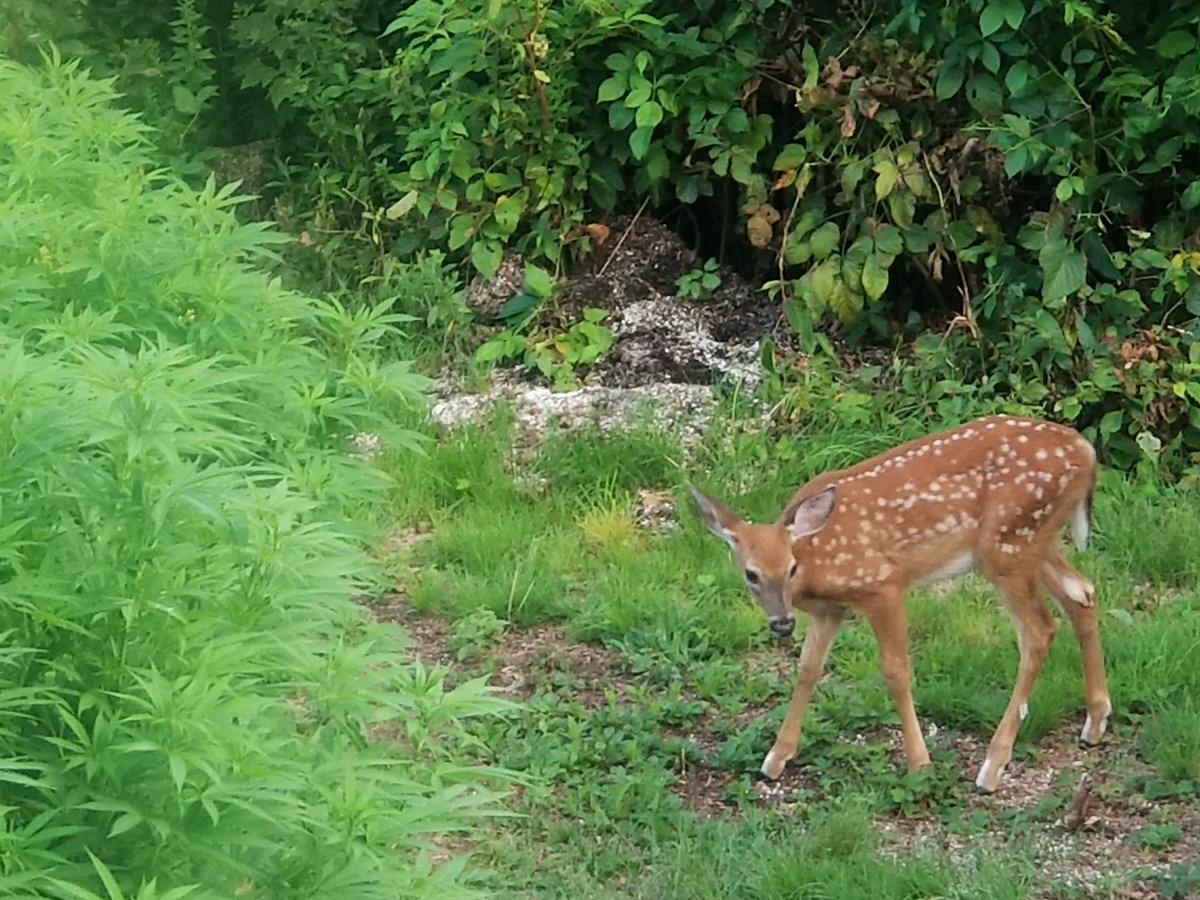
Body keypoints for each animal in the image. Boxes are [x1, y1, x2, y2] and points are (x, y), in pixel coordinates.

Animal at [689, 415, 1112, 794]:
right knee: (1082, 593)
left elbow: (896, 671)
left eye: (790, 568)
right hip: (1031, 543)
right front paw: (775, 759)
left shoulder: (882, 585)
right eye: (751, 574)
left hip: (1010, 545)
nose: (781, 623)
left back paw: (991, 769)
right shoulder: (830, 610)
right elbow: (809, 669)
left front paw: (920, 764)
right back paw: (1094, 724)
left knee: (1039, 630)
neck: (817, 558)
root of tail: (1086, 450)